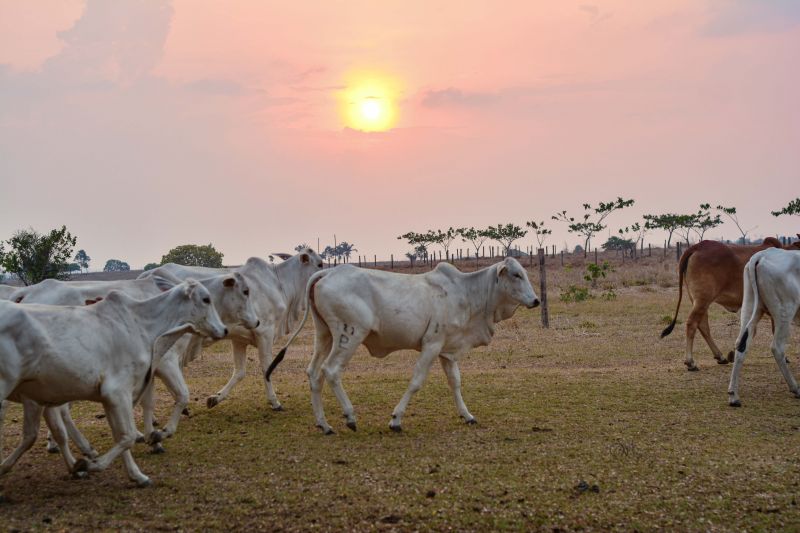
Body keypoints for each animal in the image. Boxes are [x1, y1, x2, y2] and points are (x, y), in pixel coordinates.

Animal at [0, 278, 227, 486]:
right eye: (206, 299)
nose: (224, 330)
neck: (142, 326)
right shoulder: (118, 392)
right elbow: (127, 436)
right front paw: (89, 464)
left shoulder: (112, 396)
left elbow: (121, 435)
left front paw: (137, 474)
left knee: (45, 431)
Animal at [270, 256, 544, 434]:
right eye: (516, 274)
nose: (536, 300)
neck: (467, 293)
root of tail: (326, 273)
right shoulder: (432, 345)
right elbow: (416, 382)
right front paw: (396, 420)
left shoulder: (447, 351)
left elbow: (455, 383)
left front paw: (467, 415)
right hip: (351, 335)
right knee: (331, 371)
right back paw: (349, 416)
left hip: (325, 335)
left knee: (314, 373)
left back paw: (324, 424)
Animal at [660, 237, 784, 370]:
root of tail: (698, 246)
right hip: (703, 300)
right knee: (692, 324)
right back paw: (690, 362)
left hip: (699, 301)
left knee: (702, 325)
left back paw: (720, 356)